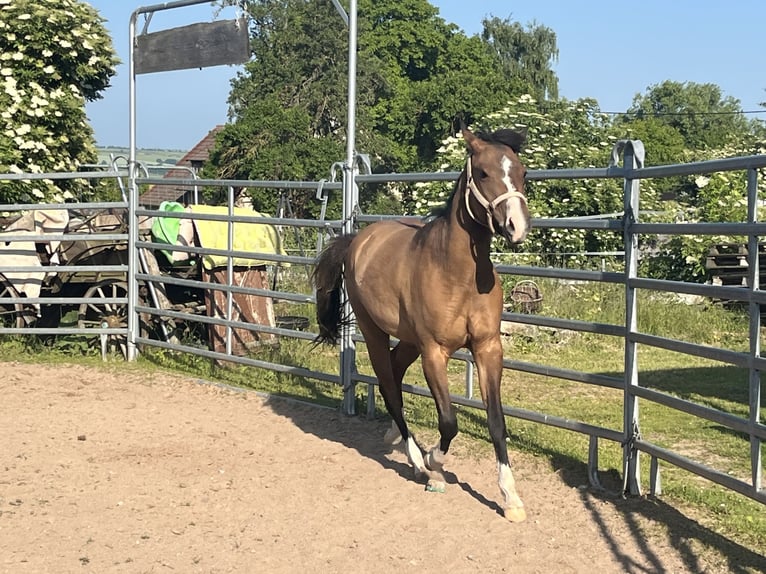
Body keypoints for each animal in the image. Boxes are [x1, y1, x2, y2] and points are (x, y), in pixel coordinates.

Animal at [312, 127, 530, 522]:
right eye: (484, 173)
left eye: (523, 173)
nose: (517, 227)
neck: (458, 273)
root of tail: (358, 240)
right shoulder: (435, 352)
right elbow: (448, 422)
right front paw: (434, 463)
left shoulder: (488, 348)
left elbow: (496, 421)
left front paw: (511, 499)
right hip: (374, 332)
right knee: (390, 389)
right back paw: (417, 462)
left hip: (409, 340)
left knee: (394, 378)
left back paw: (395, 439)